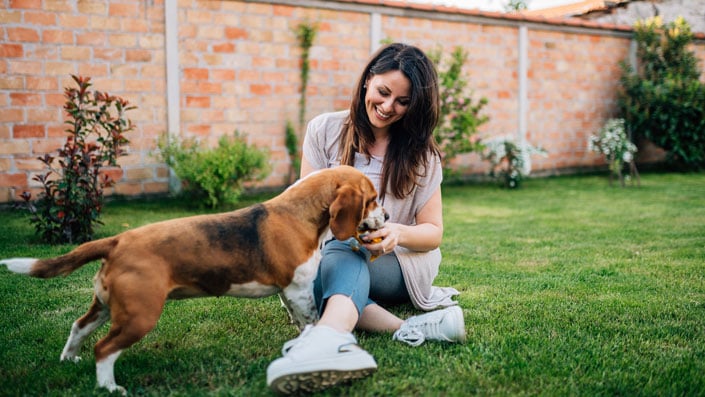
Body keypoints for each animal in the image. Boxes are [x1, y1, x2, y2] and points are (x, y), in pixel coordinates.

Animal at [0, 164, 384, 392]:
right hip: (140, 315)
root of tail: (118, 240)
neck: (300, 212)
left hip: (107, 307)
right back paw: (109, 387)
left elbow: (300, 321)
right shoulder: (299, 289)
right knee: (104, 348)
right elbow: (312, 320)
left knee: (79, 327)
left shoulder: (290, 292)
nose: (386, 215)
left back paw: (69, 360)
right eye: (372, 199)